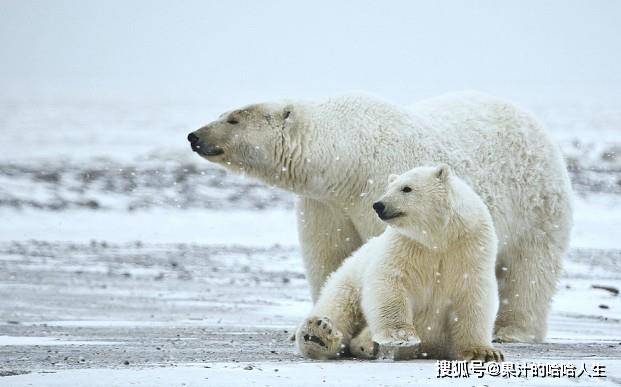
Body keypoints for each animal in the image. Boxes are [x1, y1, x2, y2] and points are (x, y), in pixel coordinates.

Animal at [188, 91, 572, 342]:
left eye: (233, 117)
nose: (194, 135)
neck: (347, 159)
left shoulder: (380, 188)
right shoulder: (326, 203)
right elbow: (330, 256)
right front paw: (318, 324)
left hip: (536, 205)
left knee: (529, 269)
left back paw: (513, 331)